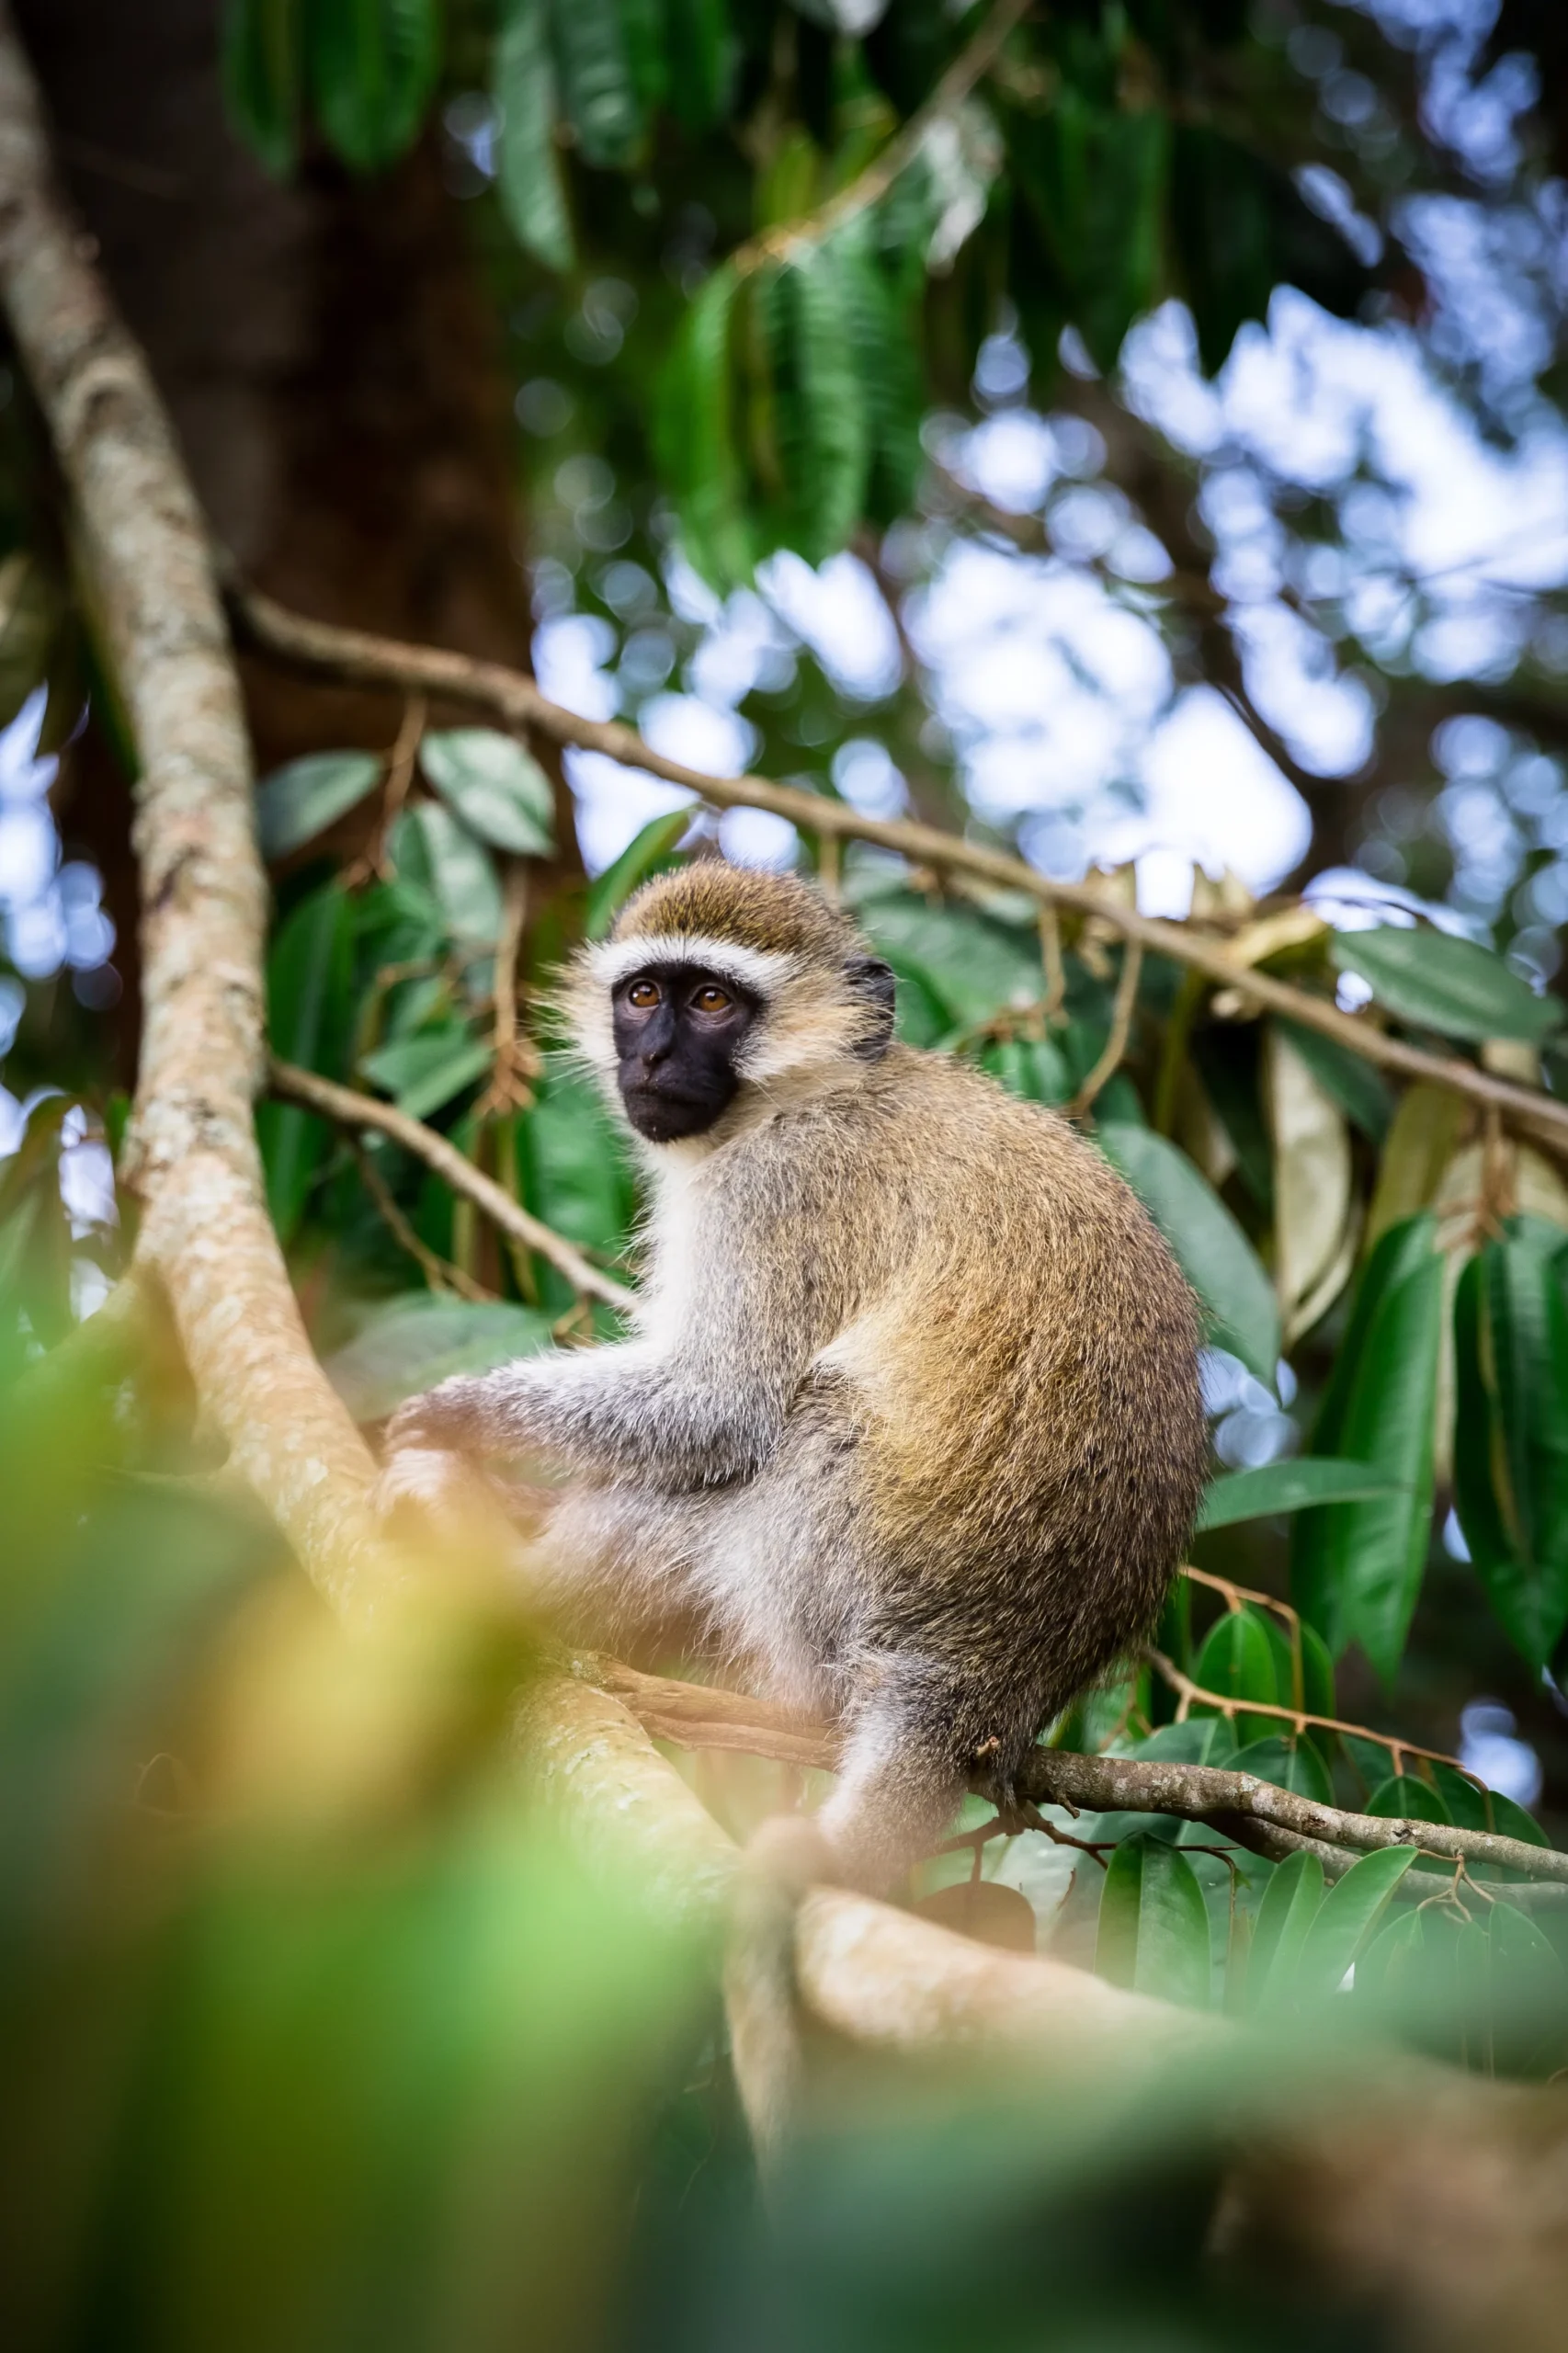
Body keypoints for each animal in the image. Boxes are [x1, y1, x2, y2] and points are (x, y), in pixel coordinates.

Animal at [376, 866, 1196, 1892]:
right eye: (642, 994)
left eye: (712, 1002)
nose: (650, 1057)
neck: (806, 1092)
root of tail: (990, 1677)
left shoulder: (778, 1188)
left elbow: (720, 1404)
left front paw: (463, 1416)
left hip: (855, 1582)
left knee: (788, 1439)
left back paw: (507, 1582)